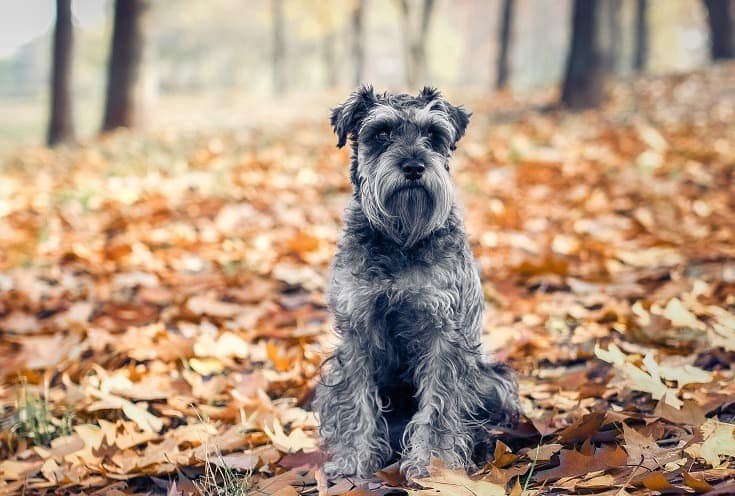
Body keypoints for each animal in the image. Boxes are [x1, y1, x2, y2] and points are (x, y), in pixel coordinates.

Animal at [316, 86, 524, 480]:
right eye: (381, 133)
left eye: (433, 133)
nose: (414, 166)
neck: (400, 238)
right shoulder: (357, 331)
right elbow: (355, 400)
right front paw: (354, 461)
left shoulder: (442, 331)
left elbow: (439, 406)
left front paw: (433, 465)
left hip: (493, 380)